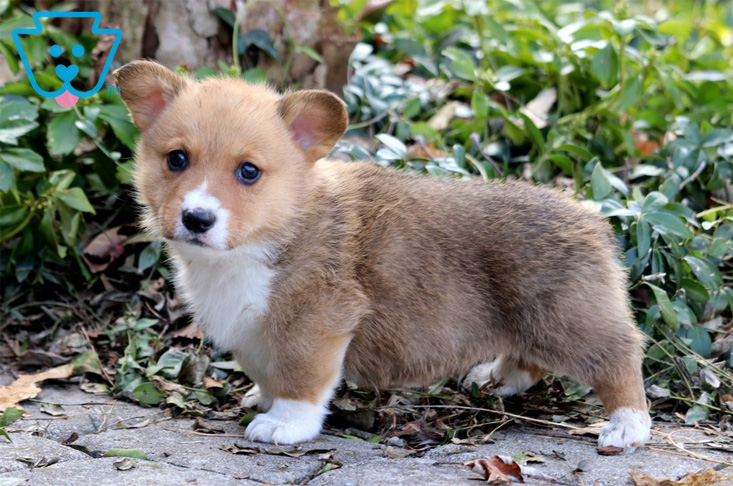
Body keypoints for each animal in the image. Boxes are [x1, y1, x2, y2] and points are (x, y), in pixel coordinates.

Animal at [116, 60, 652, 452]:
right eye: (177, 159)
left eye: (248, 171)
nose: (196, 218)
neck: (275, 232)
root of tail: (590, 218)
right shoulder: (251, 328)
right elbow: (265, 370)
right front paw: (261, 399)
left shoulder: (316, 321)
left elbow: (299, 378)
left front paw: (285, 424)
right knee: (530, 359)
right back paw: (495, 378)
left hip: (567, 320)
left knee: (620, 356)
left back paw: (628, 426)